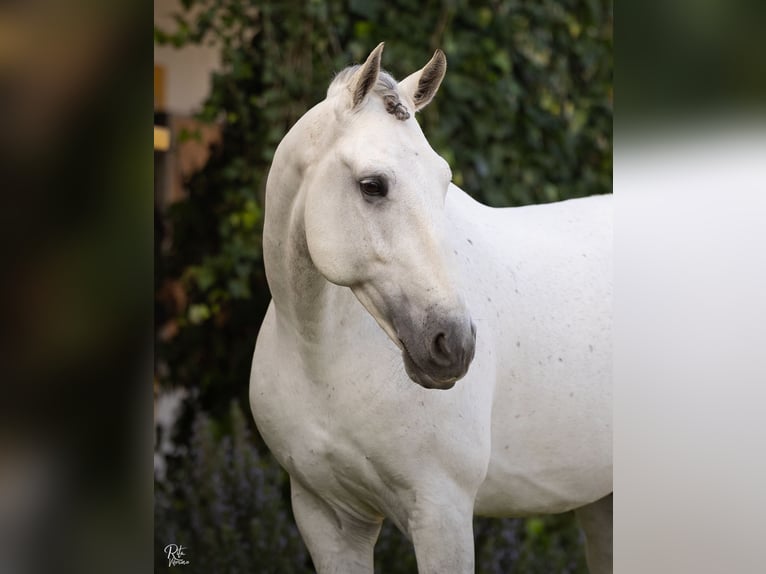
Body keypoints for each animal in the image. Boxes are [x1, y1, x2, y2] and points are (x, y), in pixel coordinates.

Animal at [250, 43, 612, 573]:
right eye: (372, 185)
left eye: (443, 180)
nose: (454, 344)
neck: (319, 354)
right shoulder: (326, 518)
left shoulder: (442, 513)